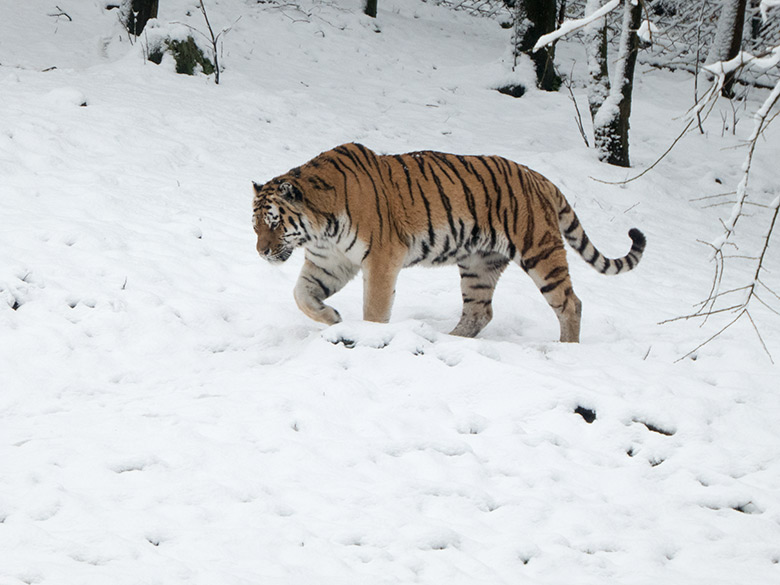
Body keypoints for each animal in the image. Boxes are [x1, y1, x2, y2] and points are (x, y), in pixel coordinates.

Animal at [251, 143, 644, 342]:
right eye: (255, 225)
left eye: (274, 222)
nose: (261, 252)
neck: (319, 227)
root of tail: (541, 179)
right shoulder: (329, 262)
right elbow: (301, 295)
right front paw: (332, 317)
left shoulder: (381, 258)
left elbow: (375, 308)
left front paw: (367, 334)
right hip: (478, 264)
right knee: (479, 311)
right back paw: (451, 338)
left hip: (540, 250)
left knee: (570, 303)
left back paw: (565, 349)